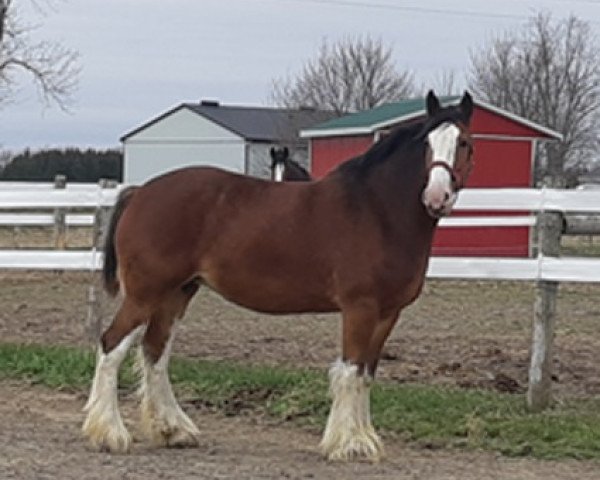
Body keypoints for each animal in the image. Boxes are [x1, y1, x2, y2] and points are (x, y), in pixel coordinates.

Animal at [82, 90, 474, 462]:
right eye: (427, 143)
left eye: (465, 143)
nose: (436, 196)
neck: (376, 211)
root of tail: (140, 192)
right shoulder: (359, 308)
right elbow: (349, 371)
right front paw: (347, 444)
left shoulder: (388, 313)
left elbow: (365, 374)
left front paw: (365, 440)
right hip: (145, 293)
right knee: (112, 345)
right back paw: (109, 434)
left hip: (177, 292)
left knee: (155, 351)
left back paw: (172, 429)